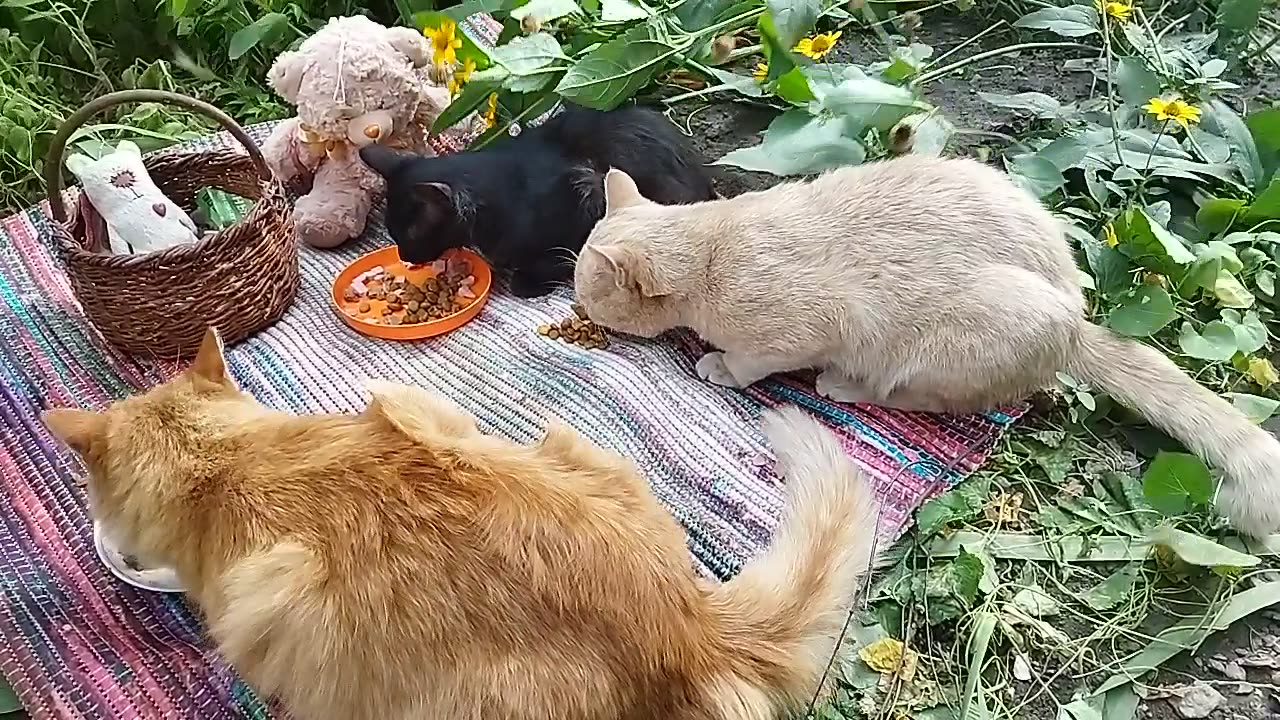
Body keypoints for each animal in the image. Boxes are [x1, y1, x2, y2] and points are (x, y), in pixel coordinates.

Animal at [360, 101, 721, 297]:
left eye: (412, 233)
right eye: (393, 233)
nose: (405, 256)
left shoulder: (581, 200)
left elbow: (557, 258)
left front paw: (530, 278)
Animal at [576, 158, 1280, 538]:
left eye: (586, 292)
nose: (577, 309)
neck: (714, 246)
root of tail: (1077, 318)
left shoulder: (803, 328)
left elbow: (753, 361)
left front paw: (718, 365)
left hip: (946, 344)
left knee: (916, 394)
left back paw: (844, 384)